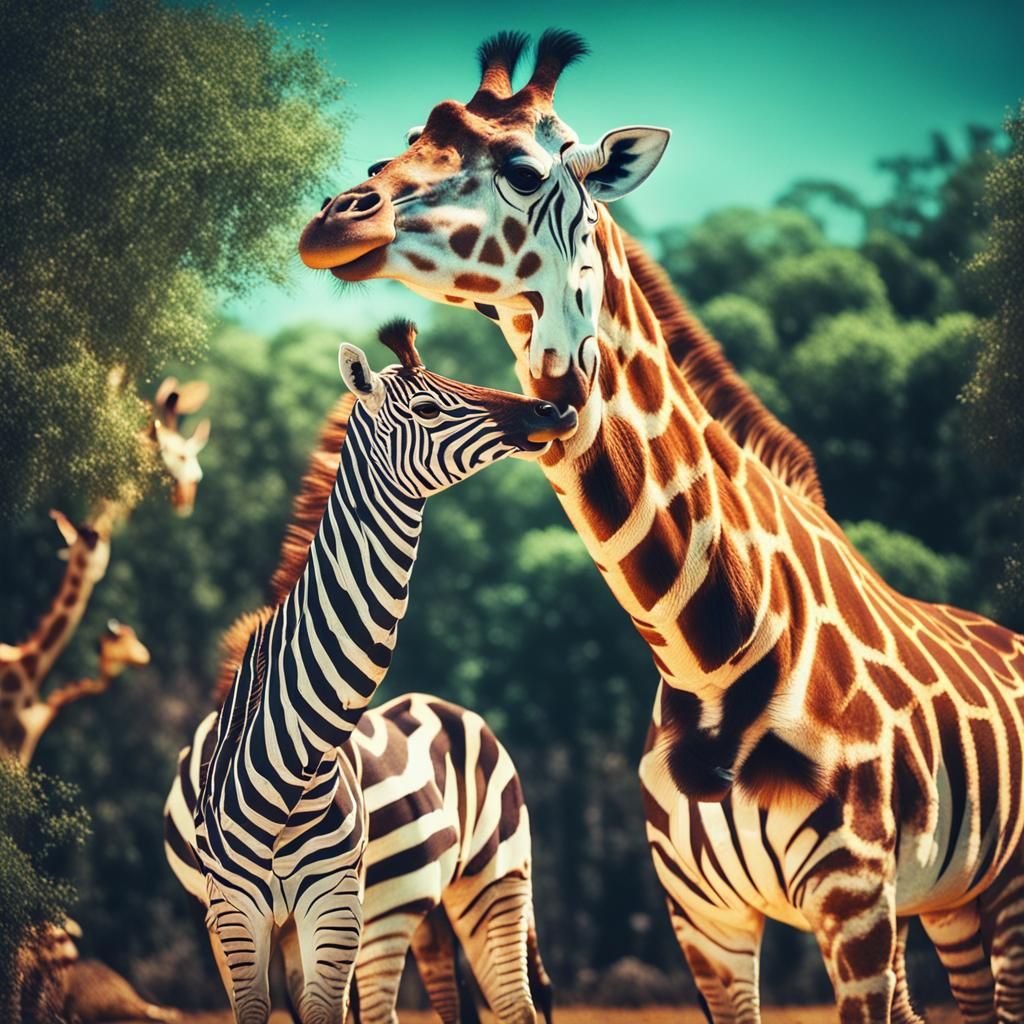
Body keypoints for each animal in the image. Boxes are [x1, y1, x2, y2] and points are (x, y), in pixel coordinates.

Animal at [297, 31, 1024, 1022]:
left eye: (522, 170)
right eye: (396, 147)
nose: (335, 220)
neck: (707, 656)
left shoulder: (854, 904)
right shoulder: (703, 921)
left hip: (1003, 889)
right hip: (950, 900)